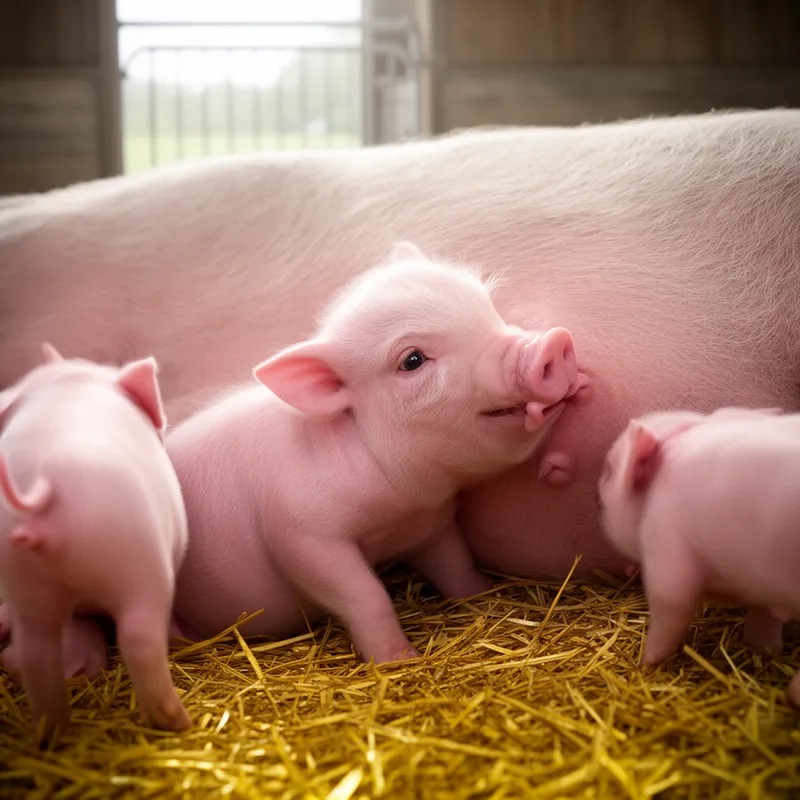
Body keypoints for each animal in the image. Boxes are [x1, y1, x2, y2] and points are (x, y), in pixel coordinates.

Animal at [0, 344, 191, 739]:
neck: (70, 386)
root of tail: (44, 482)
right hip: (140, 564)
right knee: (140, 640)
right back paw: (179, 721)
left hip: (22, 579)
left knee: (36, 651)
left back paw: (54, 733)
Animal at [166, 245, 589, 662]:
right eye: (412, 360)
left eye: (489, 309)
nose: (551, 344)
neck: (395, 511)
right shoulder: (301, 535)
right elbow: (366, 595)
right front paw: (400, 660)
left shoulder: (430, 523)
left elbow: (456, 564)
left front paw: (483, 598)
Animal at [597, 407, 800, 704]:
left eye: (609, 473)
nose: (596, 494)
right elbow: (764, 622)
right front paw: (765, 651)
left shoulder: (665, 546)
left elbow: (670, 607)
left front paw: (646, 663)